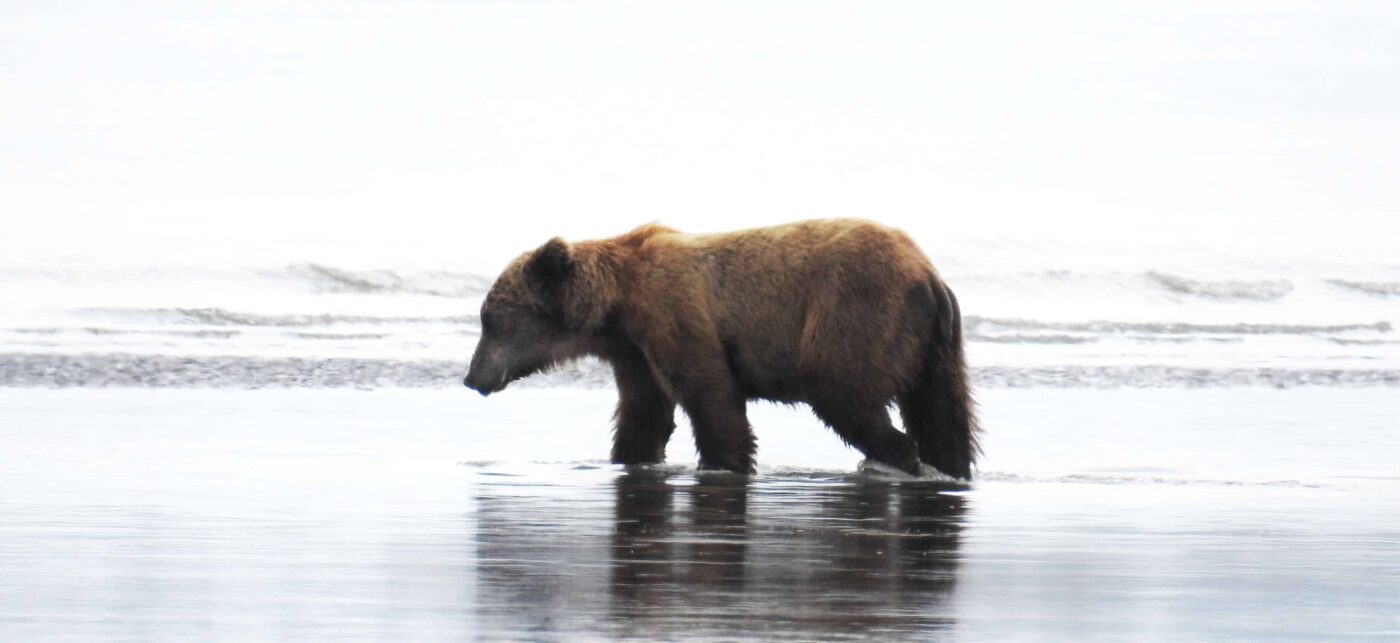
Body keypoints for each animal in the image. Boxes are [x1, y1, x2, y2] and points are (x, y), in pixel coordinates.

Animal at [463, 219, 980, 479]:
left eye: (491, 321)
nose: (472, 377)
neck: (618, 306)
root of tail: (929, 277)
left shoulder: (676, 316)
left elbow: (712, 397)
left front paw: (725, 463)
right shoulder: (634, 351)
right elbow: (644, 414)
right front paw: (629, 456)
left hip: (857, 317)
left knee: (845, 397)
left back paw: (898, 457)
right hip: (936, 345)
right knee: (943, 412)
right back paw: (947, 465)